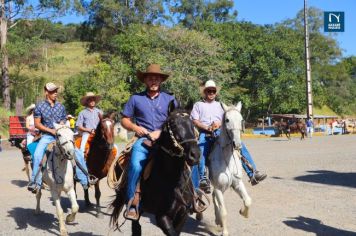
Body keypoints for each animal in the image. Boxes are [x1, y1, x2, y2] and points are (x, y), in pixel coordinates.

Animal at [110, 102, 202, 236]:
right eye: (173, 124)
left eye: (193, 124)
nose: (195, 155)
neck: (172, 180)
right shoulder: (162, 216)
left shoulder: (183, 214)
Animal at [203, 102, 250, 236]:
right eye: (227, 120)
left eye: (241, 119)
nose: (237, 144)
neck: (227, 161)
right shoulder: (219, 187)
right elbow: (223, 211)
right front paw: (224, 232)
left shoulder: (237, 183)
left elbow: (248, 200)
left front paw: (243, 212)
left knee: (214, 198)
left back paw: (217, 220)